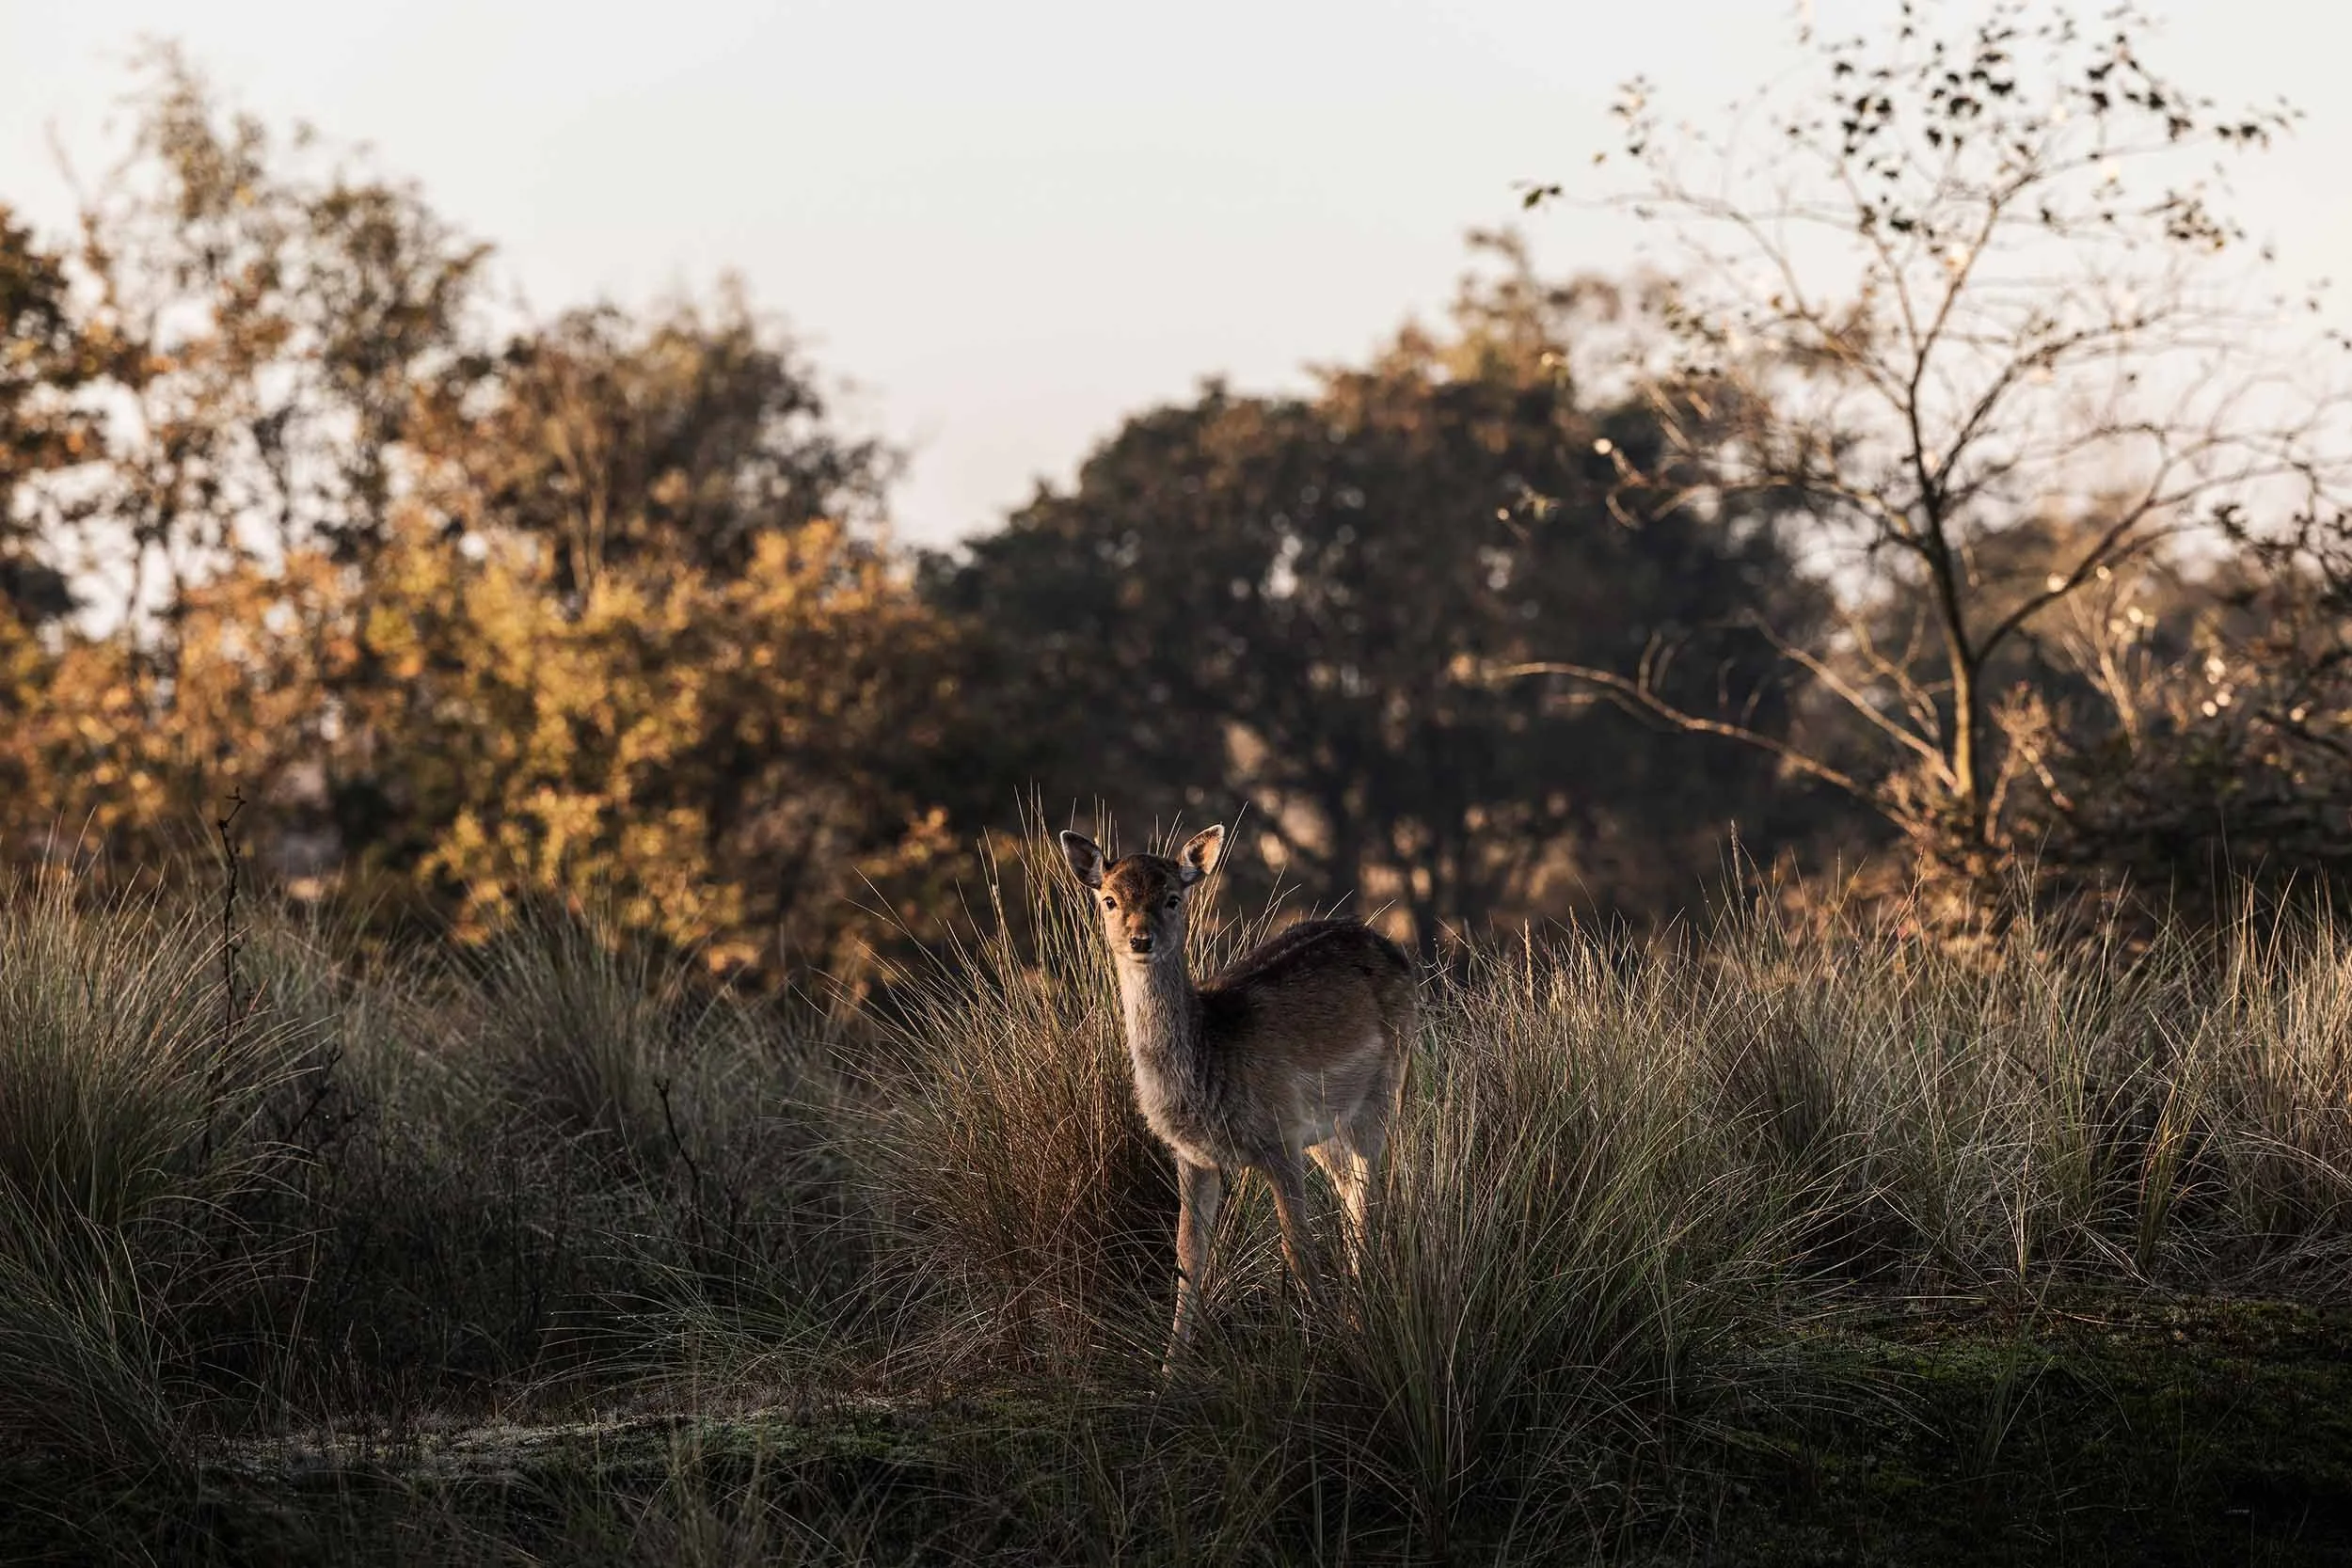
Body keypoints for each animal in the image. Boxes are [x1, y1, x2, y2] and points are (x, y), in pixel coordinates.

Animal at [1058, 823, 1418, 1362]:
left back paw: (1358, 1320)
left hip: (1381, 1091)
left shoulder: (1279, 1133)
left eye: (1172, 898)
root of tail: (1396, 950)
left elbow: (1297, 1247)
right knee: (1351, 1191)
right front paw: (1171, 1371)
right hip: (1327, 1131)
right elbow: (1187, 1255)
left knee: (1368, 1198)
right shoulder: (1192, 1155)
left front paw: (1332, 1350)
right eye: (1108, 899)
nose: (1141, 939)